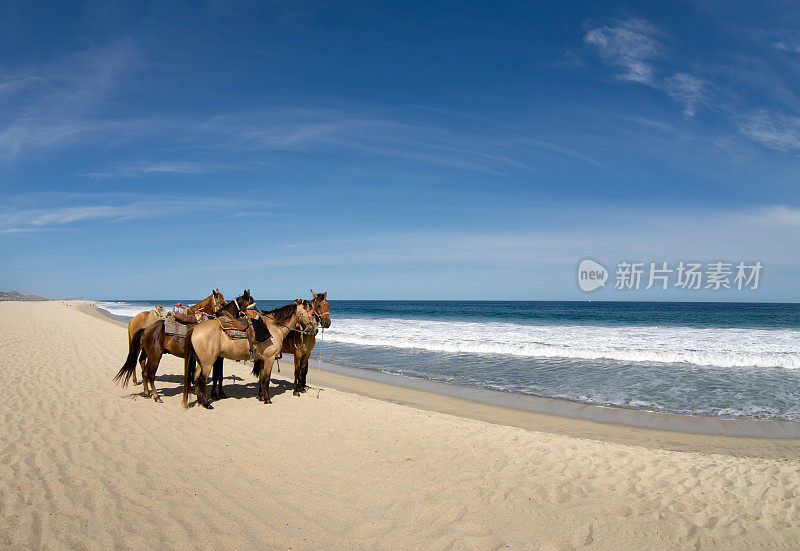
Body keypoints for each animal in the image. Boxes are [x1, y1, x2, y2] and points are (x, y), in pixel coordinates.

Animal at [114, 292, 252, 404]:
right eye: (221, 301)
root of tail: (145, 328)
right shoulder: (217, 357)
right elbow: (217, 375)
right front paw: (217, 394)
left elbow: (214, 374)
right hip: (154, 355)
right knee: (149, 374)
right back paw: (156, 396)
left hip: (148, 353)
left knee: (143, 369)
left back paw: (146, 393)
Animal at [183, 298, 318, 410]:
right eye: (312, 314)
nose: (316, 330)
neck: (274, 327)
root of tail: (195, 328)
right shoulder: (270, 359)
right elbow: (266, 379)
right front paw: (267, 400)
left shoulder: (263, 360)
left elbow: (262, 378)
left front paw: (261, 397)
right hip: (208, 362)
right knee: (201, 380)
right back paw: (207, 404)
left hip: (201, 361)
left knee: (195, 378)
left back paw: (200, 402)